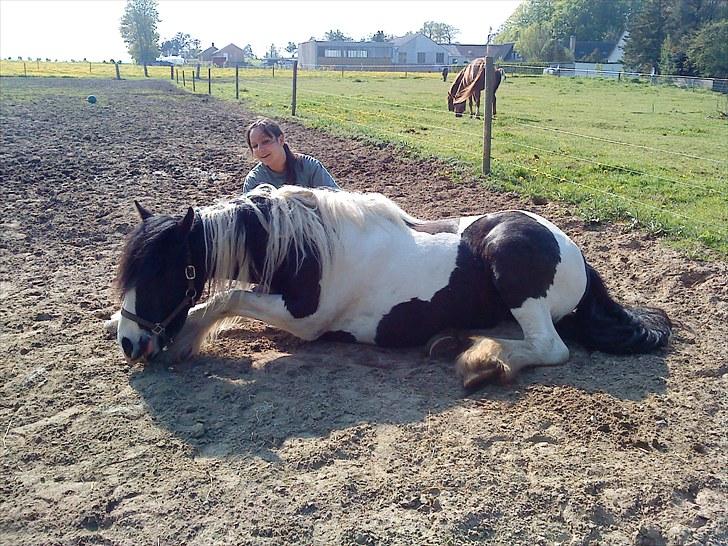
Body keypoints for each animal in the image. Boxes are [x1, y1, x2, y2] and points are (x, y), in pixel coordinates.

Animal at [106, 185, 672, 388]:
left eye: (160, 274)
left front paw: (182, 341)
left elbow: (226, 298)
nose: (132, 344)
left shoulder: (304, 320)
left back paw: (480, 359)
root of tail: (577, 255)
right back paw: (454, 340)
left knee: (550, 348)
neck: (308, 244)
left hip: (512, 262)